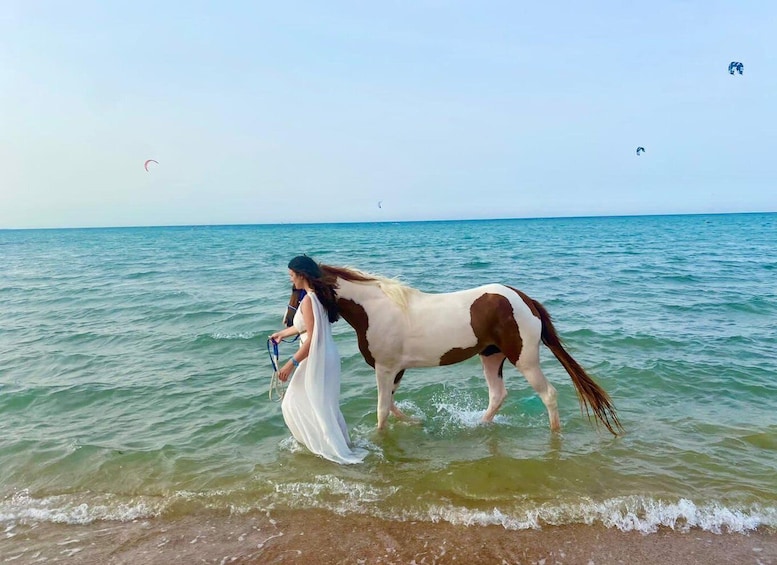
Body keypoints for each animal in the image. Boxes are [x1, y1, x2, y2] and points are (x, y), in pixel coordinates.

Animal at [285, 264, 623, 436]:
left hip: (525, 360)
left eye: (296, 287)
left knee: (549, 395)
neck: (375, 309)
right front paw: (415, 422)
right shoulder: (396, 370)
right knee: (497, 395)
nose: (289, 321)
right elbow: (391, 405)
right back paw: (479, 426)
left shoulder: (385, 368)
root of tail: (524, 298)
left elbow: (382, 410)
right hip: (491, 356)